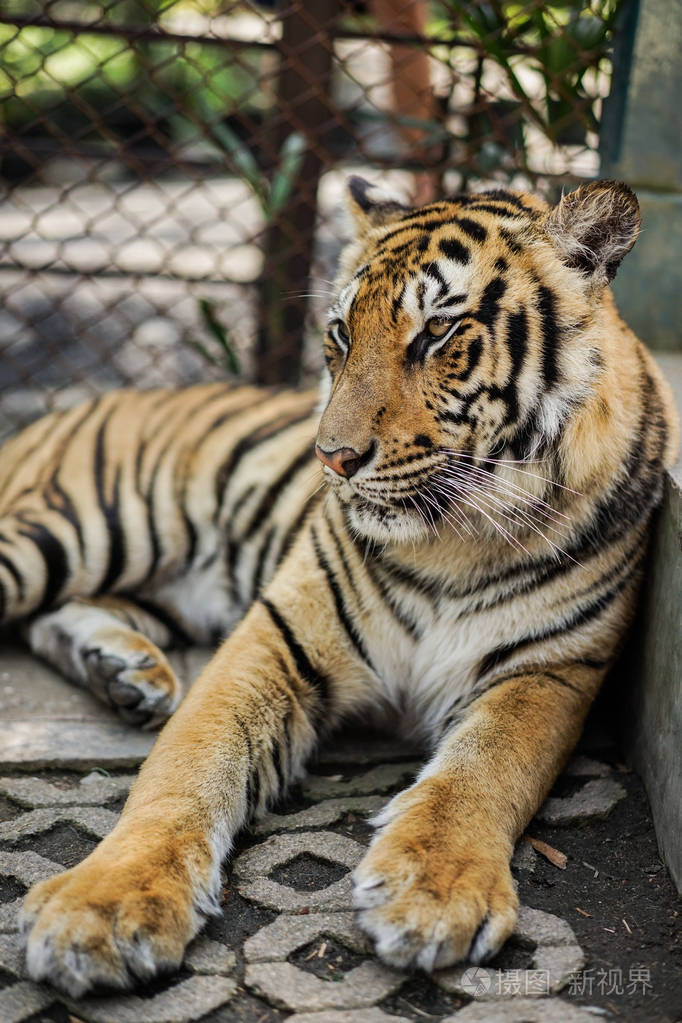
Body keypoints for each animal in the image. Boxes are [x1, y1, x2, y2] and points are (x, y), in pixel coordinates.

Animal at [3, 177, 677, 997]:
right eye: (340, 332)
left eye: (437, 332)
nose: (332, 458)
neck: (454, 541)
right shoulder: (273, 638)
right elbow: (185, 769)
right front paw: (103, 904)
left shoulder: (549, 670)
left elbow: (486, 770)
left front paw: (434, 890)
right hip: (74, 530)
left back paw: (125, 674)